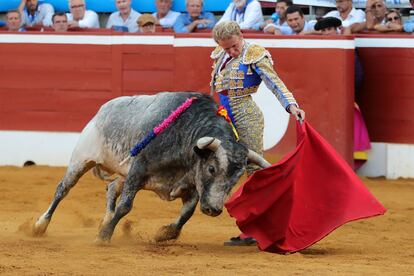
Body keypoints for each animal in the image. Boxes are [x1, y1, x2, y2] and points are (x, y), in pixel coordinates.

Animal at [33, 92, 272, 242]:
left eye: (236, 178)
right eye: (212, 169)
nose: (213, 210)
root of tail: (103, 109)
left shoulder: (192, 186)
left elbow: (186, 213)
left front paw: (164, 234)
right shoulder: (138, 171)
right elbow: (125, 206)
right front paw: (104, 236)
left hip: (122, 173)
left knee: (111, 188)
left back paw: (105, 219)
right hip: (81, 159)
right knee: (63, 189)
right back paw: (40, 226)